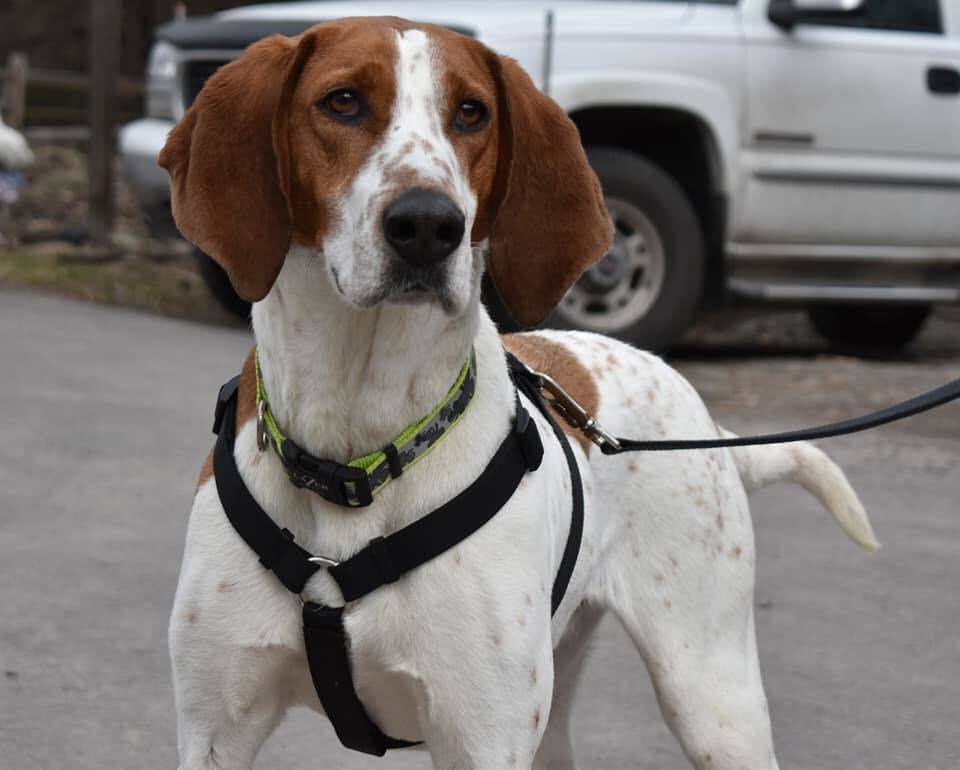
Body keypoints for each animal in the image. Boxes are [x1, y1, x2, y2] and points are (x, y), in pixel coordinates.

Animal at [159, 18, 876, 768]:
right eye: (344, 101)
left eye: (472, 112)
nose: (428, 224)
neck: (353, 451)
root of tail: (702, 419)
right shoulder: (214, 730)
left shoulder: (483, 738)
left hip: (710, 692)